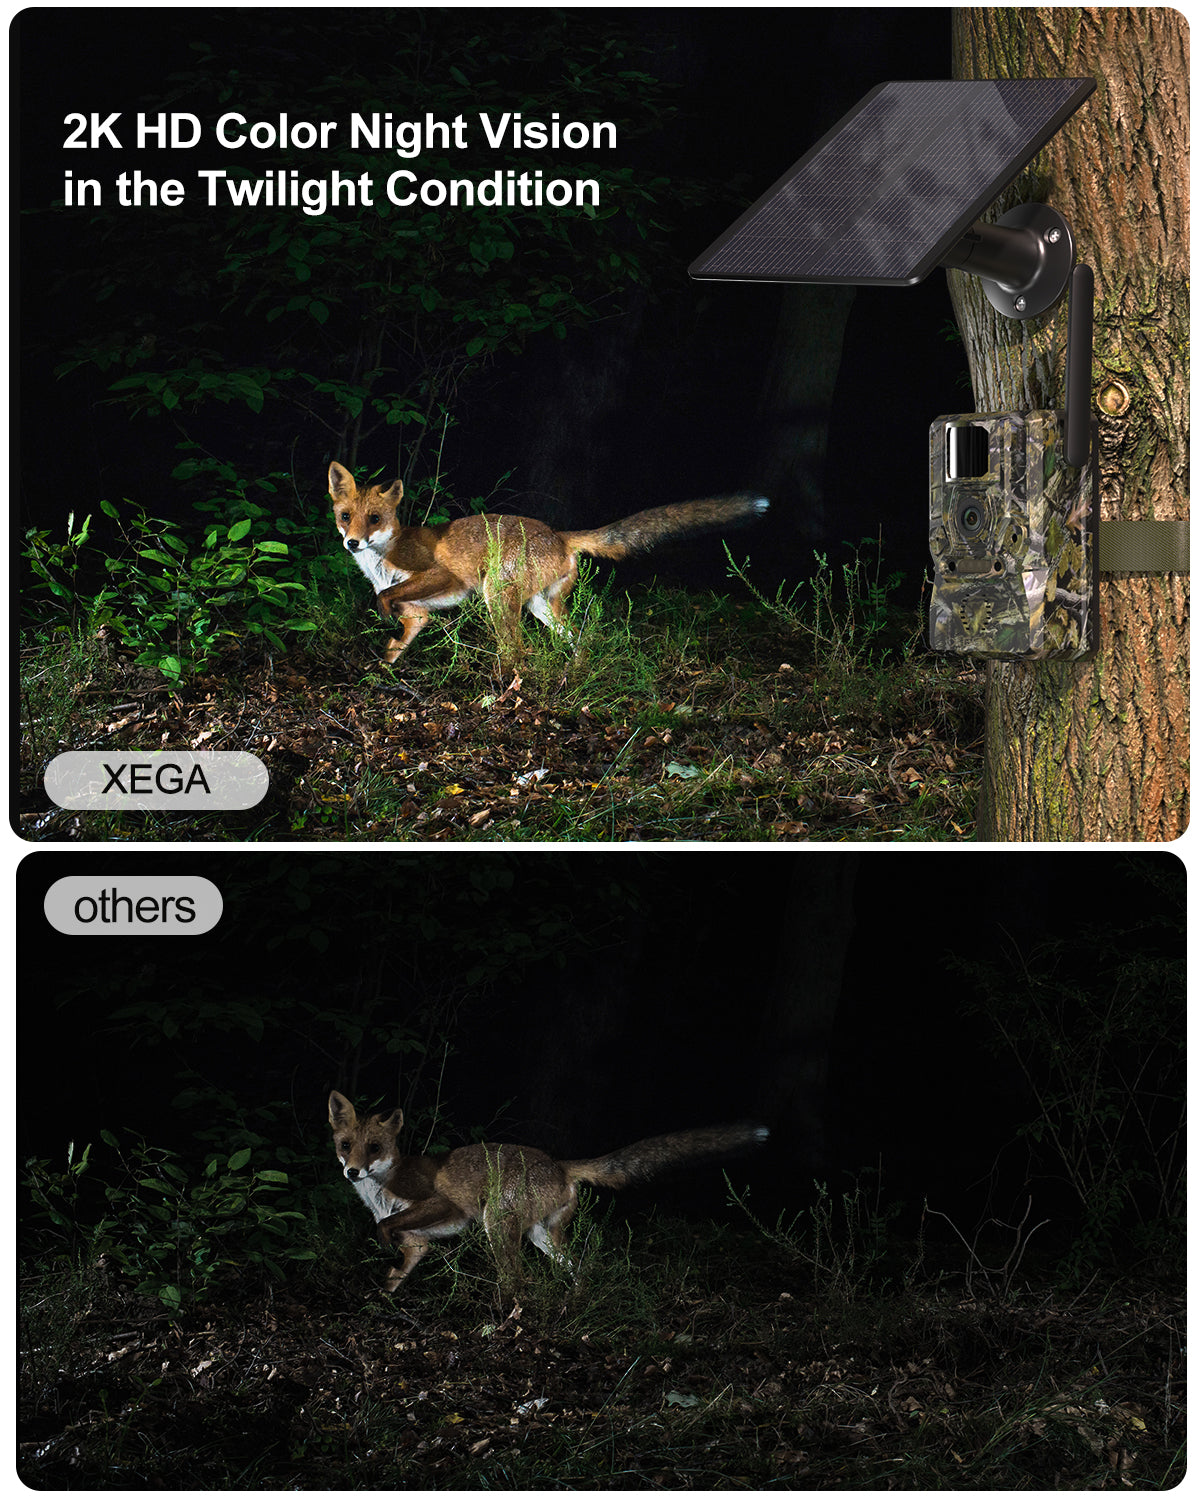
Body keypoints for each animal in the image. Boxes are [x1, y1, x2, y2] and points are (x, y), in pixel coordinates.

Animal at [328, 460, 769, 663]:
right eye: (346, 516)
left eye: (375, 519)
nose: (352, 543)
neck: (381, 562)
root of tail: (559, 534)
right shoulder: (418, 616)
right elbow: (393, 647)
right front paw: (379, 673)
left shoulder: (442, 574)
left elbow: (387, 597)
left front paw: (382, 613)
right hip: (543, 606)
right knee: (580, 638)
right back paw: (574, 676)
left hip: (497, 596)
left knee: (519, 651)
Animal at [328, 1090, 768, 1291]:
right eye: (346, 1145)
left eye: (375, 1148)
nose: (352, 1171)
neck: (380, 1192)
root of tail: (559, 1163)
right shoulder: (418, 1244)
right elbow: (396, 1273)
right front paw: (381, 1300)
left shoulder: (442, 1203)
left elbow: (386, 1227)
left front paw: (382, 1243)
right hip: (543, 1235)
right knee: (579, 1268)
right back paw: (574, 1306)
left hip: (496, 1224)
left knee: (519, 1280)